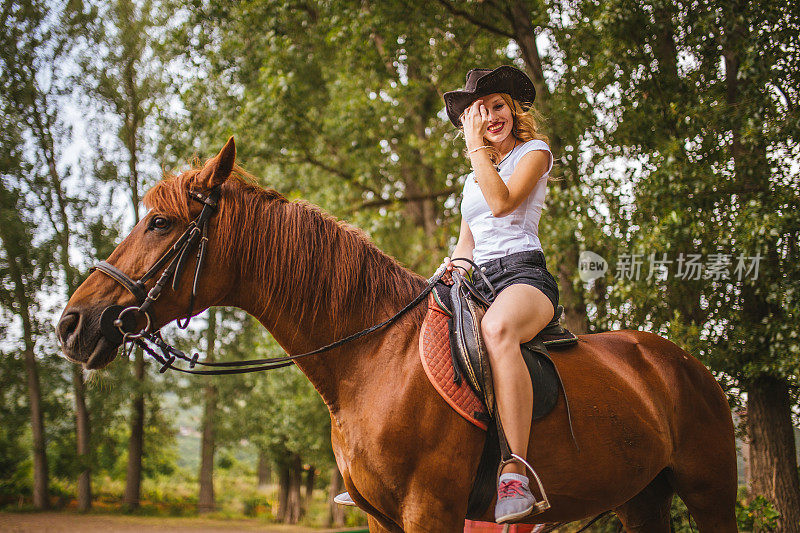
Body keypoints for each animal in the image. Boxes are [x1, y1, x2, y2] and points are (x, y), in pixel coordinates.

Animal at [57, 138, 736, 532]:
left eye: (159, 222)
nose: (74, 323)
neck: (373, 356)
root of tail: (685, 365)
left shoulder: (430, 511)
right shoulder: (383, 518)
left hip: (710, 493)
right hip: (642, 498)